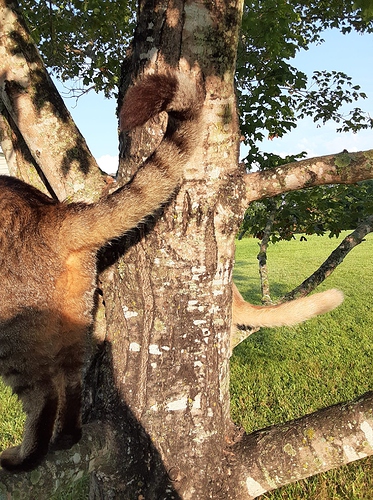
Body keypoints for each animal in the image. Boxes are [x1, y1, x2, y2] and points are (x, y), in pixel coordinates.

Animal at [0, 71, 203, 472]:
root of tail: (52, 215)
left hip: (9, 330)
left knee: (44, 392)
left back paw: (27, 456)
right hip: (74, 316)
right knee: (71, 380)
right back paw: (66, 436)